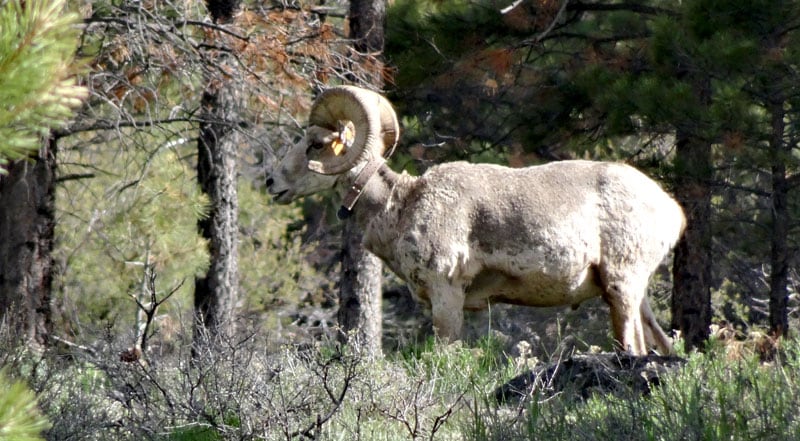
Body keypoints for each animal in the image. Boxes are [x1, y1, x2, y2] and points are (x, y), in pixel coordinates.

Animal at [266, 86, 684, 354]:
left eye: (316, 144)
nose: (273, 183)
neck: (401, 206)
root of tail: (672, 211)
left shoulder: (446, 296)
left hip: (621, 288)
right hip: (632, 295)